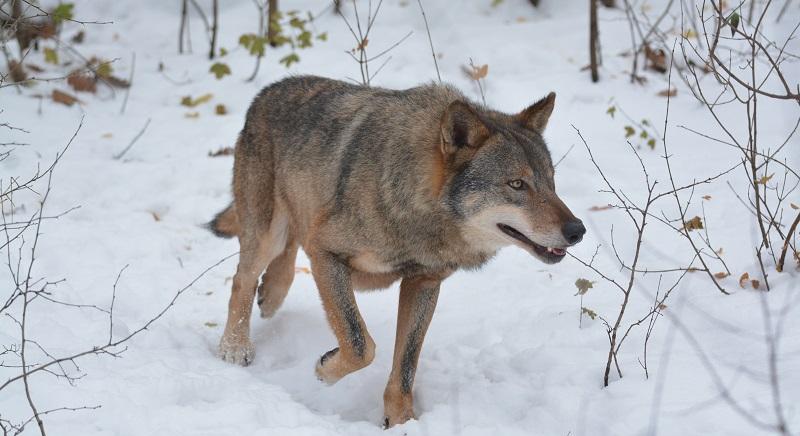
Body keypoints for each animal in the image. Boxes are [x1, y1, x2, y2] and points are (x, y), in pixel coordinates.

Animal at [206, 75, 584, 426]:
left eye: (551, 182)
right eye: (517, 184)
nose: (577, 230)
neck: (418, 206)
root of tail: (267, 91)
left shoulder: (424, 283)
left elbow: (405, 364)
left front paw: (401, 421)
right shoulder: (326, 253)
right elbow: (360, 344)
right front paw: (324, 370)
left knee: (286, 252)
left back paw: (272, 295)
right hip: (266, 232)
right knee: (243, 278)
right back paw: (235, 346)